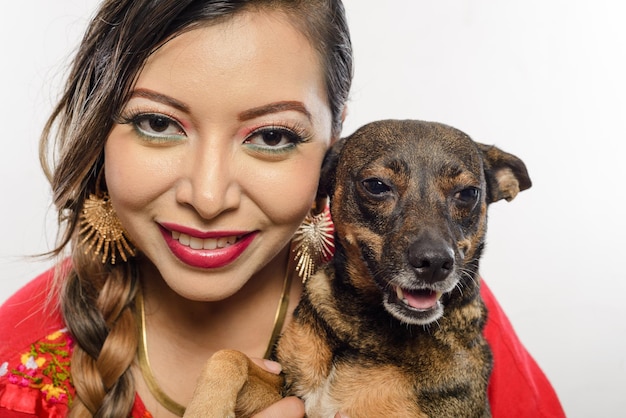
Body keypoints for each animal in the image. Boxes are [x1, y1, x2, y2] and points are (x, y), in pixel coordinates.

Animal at [183, 119, 528, 416]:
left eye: (468, 193)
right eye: (376, 185)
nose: (435, 263)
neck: (364, 330)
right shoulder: (289, 388)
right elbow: (229, 357)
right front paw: (204, 409)